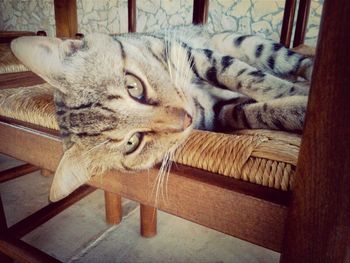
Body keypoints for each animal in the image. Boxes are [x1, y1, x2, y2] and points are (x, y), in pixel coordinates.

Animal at [10, 25, 312, 201]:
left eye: (132, 86)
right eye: (132, 143)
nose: (186, 118)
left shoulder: (192, 54)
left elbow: (248, 78)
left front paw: (298, 96)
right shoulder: (219, 113)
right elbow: (256, 112)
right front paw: (295, 109)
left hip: (249, 44)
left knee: (297, 62)